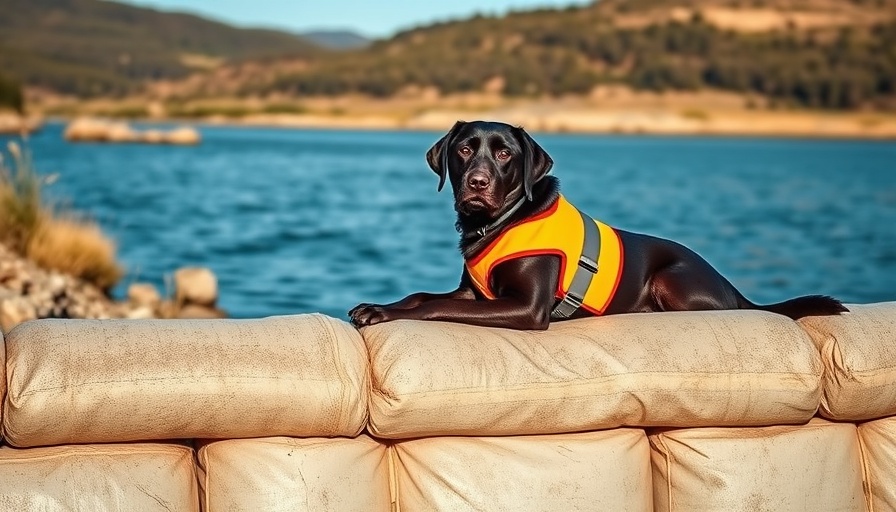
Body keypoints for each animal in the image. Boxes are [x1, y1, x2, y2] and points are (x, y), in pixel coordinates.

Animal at [350, 120, 848, 330]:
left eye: (505, 153)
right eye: (465, 149)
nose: (477, 183)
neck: (500, 222)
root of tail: (735, 290)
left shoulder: (526, 308)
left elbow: (432, 307)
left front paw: (384, 314)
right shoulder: (473, 292)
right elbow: (423, 295)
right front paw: (379, 303)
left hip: (673, 279)